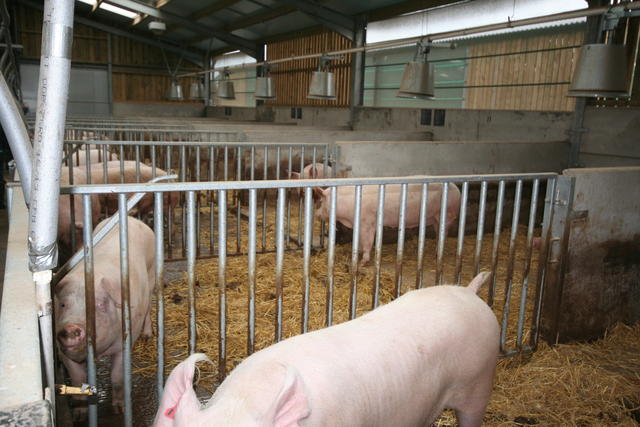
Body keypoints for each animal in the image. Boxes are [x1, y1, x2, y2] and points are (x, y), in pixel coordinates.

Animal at [55, 216, 156, 420]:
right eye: (63, 305)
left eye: (100, 305)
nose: (70, 328)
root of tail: (133, 219)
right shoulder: (63, 351)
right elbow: (77, 381)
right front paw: (79, 415)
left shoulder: (124, 342)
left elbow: (117, 377)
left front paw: (119, 409)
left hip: (152, 276)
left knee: (149, 306)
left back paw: (147, 336)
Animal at [315, 182, 461, 267]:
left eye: (321, 201)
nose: (317, 215)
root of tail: (457, 189)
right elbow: (361, 241)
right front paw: (359, 252)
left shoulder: (367, 221)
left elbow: (367, 240)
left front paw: (362, 262)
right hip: (436, 219)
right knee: (438, 234)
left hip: (447, 214)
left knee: (444, 234)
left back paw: (438, 254)